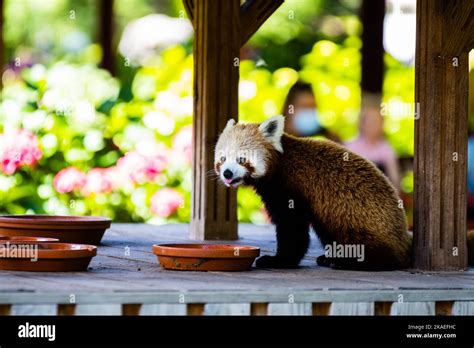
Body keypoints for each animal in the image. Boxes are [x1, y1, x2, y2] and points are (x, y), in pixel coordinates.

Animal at [213, 115, 412, 270]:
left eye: (241, 159)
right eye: (222, 159)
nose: (227, 173)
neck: (279, 165)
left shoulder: (290, 190)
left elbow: (292, 228)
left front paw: (279, 260)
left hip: (361, 220)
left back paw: (348, 261)